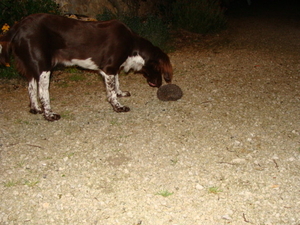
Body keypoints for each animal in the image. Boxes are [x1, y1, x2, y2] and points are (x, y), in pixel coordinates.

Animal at [0, 13, 173, 120]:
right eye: (159, 69)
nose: (160, 84)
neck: (133, 45)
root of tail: (18, 26)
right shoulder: (109, 68)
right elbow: (111, 92)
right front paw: (118, 107)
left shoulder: (113, 68)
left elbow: (116, 82)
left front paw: (121, 93)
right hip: (43, 67)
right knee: (43, 93)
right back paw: (49, 115)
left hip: (31, 67)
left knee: (30, 88)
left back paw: (35, 109)